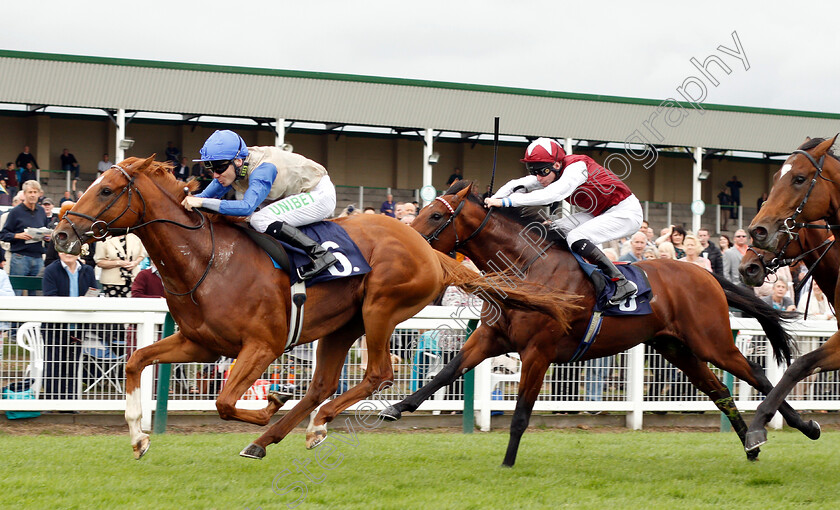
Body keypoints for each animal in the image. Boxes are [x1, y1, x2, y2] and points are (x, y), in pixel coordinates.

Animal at [50, 157, 576, 460]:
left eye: (106, 190)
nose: (61, 233)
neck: (208, 260)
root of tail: (429, 251)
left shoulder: (262, 345)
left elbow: (224, 402)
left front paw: (268, 404)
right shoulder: (199, 342)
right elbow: (136, 361)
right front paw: (139, 437)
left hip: (380, 308)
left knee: (379, 373)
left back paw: (314, 424)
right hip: (341, 325)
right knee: (323, 384)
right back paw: (275, 437)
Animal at [382, 181, 820, 468]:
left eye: (436, 214)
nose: (404, 244)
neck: (528, 267)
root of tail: (706, 274)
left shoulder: (538, 351)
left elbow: (522, 412)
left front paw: (507, 464)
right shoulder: (490, 339)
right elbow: (445, 373)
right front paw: (396, 408)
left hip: (711, 341)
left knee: (758, 376)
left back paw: (803, 428)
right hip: (676, 348)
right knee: (719, 391)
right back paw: (751, 445)